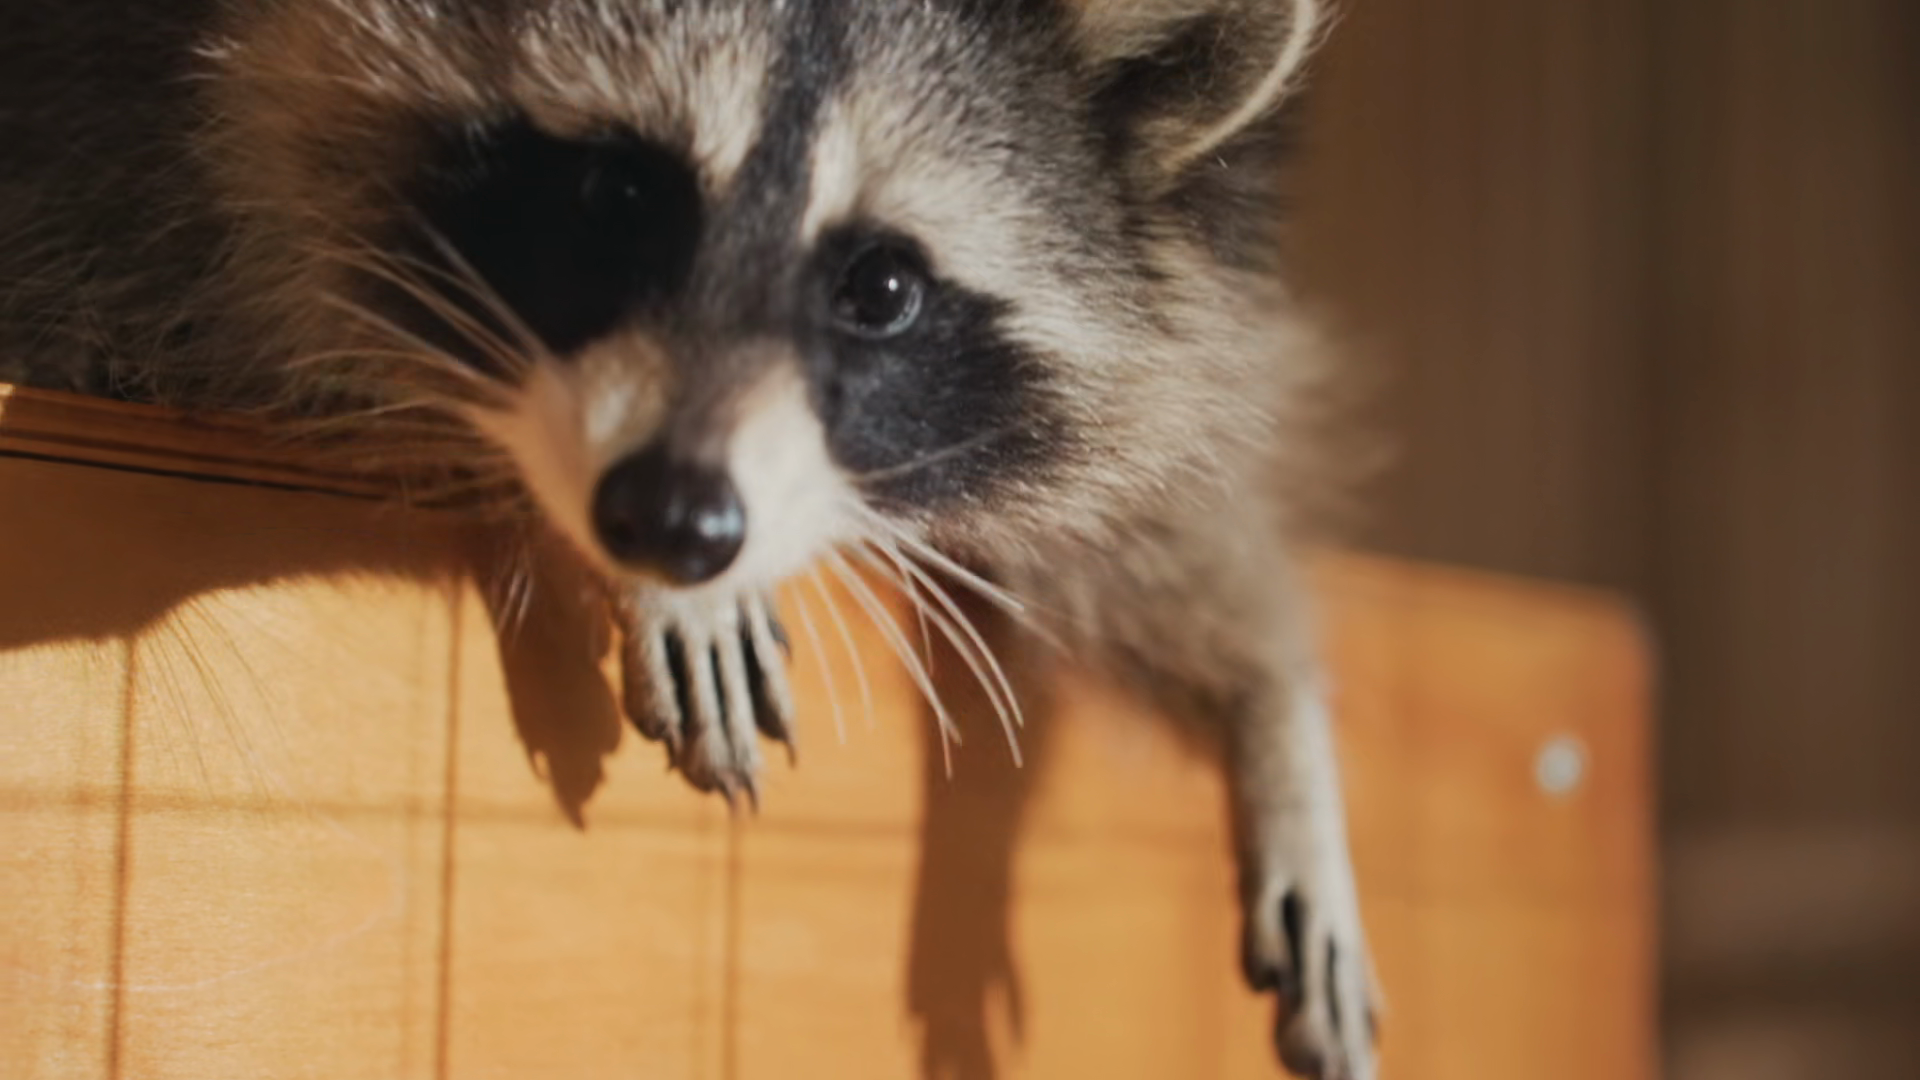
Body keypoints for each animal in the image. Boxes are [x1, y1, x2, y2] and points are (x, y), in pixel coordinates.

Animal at [1, 0, 1377, 1074]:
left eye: (881, 289)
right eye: (619, 195)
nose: (667, 517)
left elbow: (1150, 484)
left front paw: (1273, 704)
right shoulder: (124, 147)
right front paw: (661, 585)